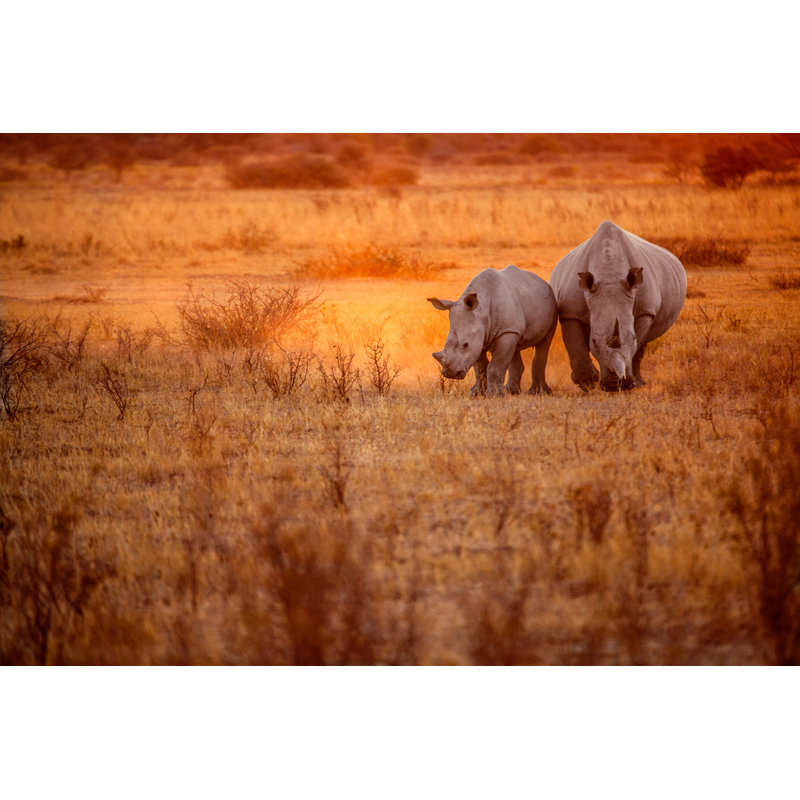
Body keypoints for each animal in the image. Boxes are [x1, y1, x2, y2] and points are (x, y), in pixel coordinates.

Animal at [428, 265, 557, 395]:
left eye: (465, 344)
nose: (450, 374)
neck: (480, 312)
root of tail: (544, 282)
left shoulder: (505, 331)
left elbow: (496, 365)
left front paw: (495, 395)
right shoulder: (481, 336)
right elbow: (480, 367)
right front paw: (476, 393)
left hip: (552, 305)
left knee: (544, 343)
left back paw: (538, 392)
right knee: (515, 346)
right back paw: (512, 391)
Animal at [549, 221, 687, 391]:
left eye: (633, 338)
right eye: (594, 341)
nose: (614, 386)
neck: (609, 275)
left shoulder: (645, 310)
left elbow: (637, 344)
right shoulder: (570, 312)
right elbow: (576, 347)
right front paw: (587, 383)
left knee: (644, 342)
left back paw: (639, 383)